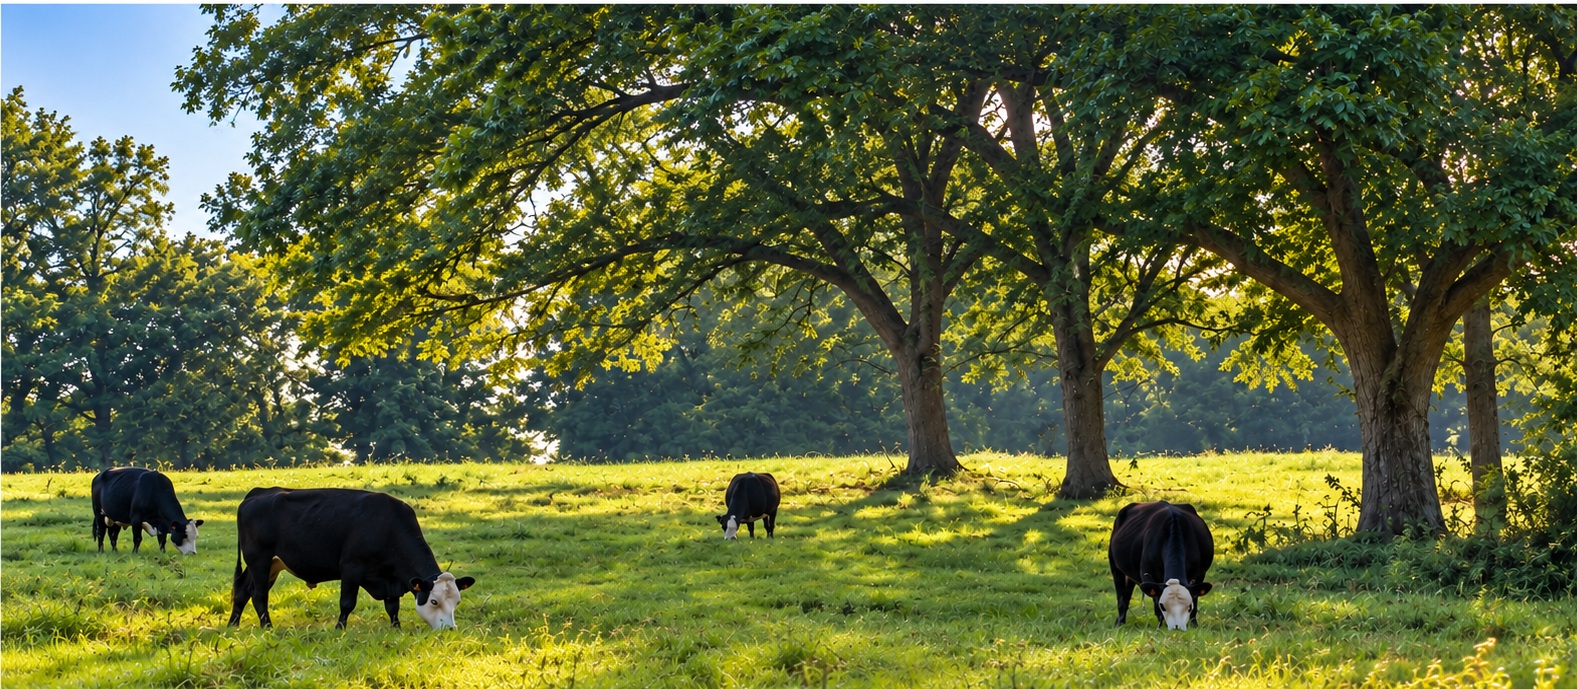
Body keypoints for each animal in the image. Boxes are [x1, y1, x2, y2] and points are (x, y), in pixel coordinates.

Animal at [227, 487, 476, 630]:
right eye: (434, 601)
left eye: (457, 602)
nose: (450, 629)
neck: (387, 525)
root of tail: (258, 492)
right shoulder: (351, 568)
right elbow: (347, 603)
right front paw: (340, 628)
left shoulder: (390, 579)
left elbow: (392, 607)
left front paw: (396, 628)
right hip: (259, 559)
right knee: (259, 595)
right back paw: (267, 627)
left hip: (270, 564)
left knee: (242, 591)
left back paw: (232, 624)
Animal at [1107, 500, 1215, 631]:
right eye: (1164, 606)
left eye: (1187, 606)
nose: (1176, 626)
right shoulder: (1148, 575)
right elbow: (1156, 605)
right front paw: (1159, 628)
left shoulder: (1199, 575)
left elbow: (1195, 601)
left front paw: (1194, 625)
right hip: (1115, 565)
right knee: (1121, 596)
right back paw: (1120, 623)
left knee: (1127, 594)